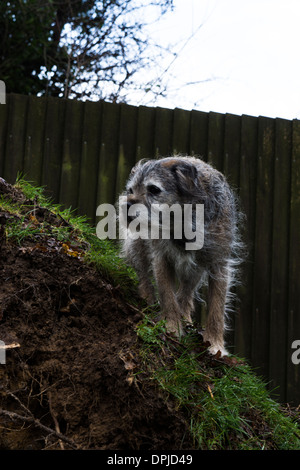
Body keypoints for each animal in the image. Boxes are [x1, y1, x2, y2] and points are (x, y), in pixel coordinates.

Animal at [118, 156, 244, 354]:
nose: (126, 205)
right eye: (130, 190)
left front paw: (215, 345)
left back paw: (184, 314)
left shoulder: (219, 264)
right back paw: (148, 300)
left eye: (154, 189)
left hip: (196, 269)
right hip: (136, 246)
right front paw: (172, 327)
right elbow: (167, 294)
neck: (183, 221)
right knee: (144, 275)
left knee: (186, 290)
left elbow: (217, 307)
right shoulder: (161, 257)